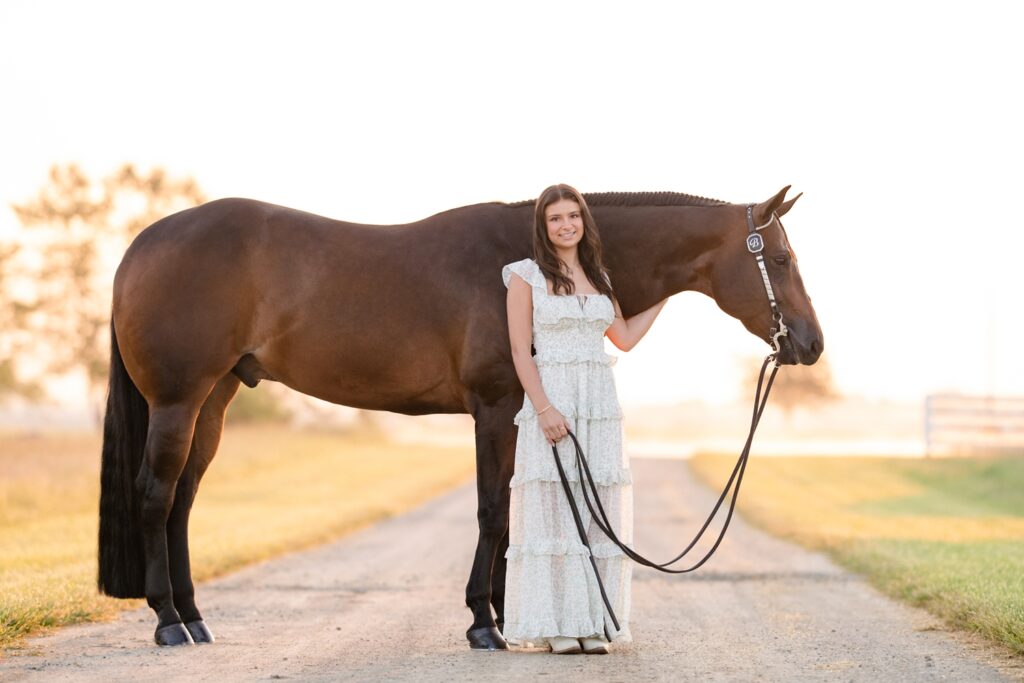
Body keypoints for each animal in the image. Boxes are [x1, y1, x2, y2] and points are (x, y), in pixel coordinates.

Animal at [98, 185, 823, 649]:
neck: (527, 261)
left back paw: (194, 616)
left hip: (215, 398)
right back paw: (167, 621)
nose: (810, 344)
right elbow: (492, 511)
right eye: (781, 258)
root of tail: (139, 245)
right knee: (157, 495)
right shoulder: (496, 407)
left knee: (183, 500)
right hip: (178, 401)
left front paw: (503, 613)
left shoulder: (520, 413)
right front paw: (485, 622)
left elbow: (504, 512)